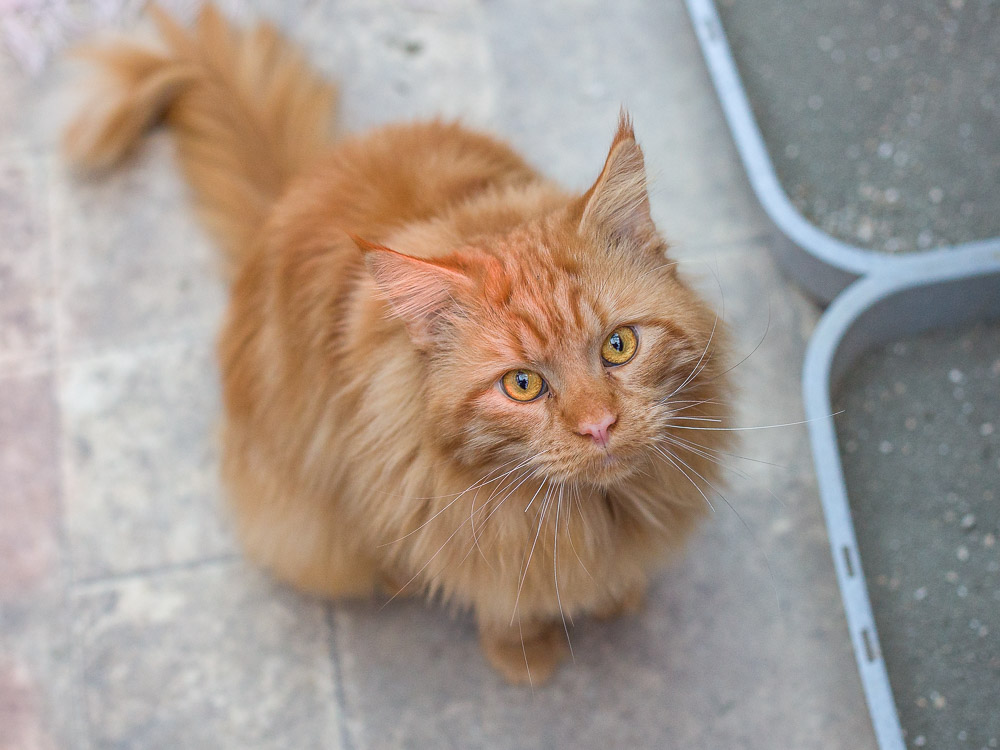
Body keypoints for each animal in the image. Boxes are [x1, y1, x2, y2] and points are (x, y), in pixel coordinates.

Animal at [64, 4, 736, 688]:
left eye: (619, 347)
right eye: (522, 385)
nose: (599, 426)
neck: (600, 514)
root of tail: (290, 192)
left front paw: (618, 595)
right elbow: (503, 601)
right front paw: (524, 651)